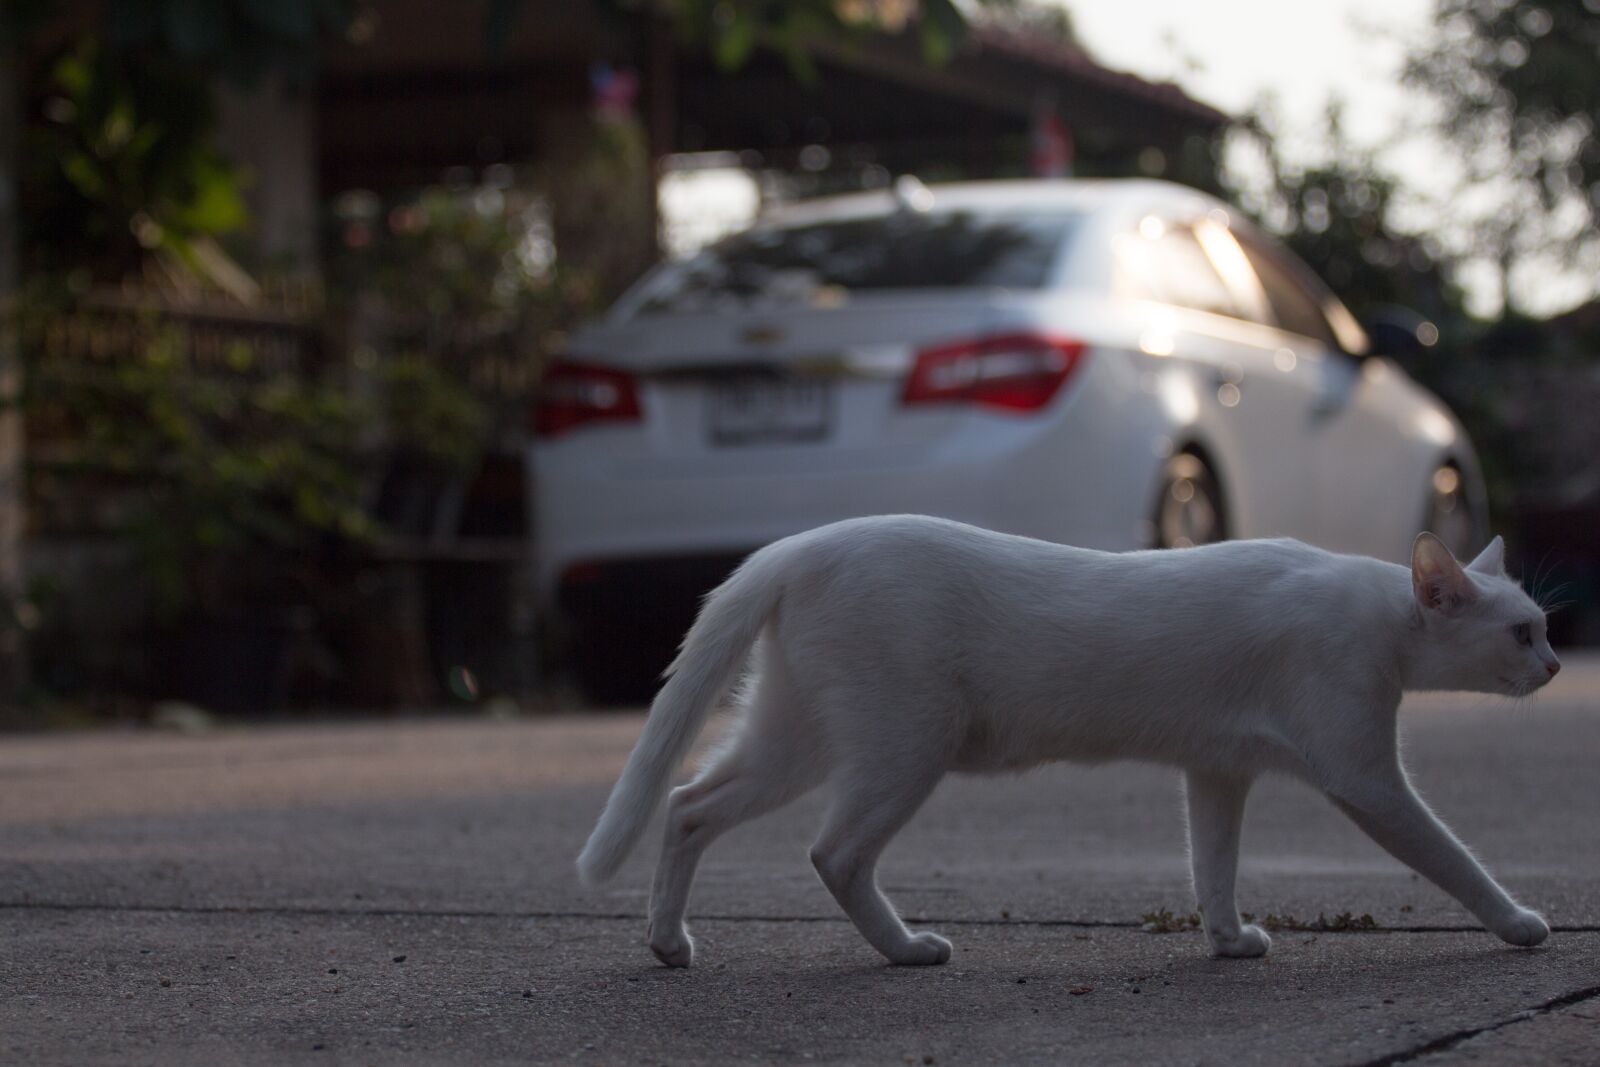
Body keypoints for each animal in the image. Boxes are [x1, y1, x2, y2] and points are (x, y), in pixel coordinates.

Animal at [579, 518, 1561, 966]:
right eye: (1523, 632)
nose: (1555, 664)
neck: (1378, 616)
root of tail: (797, 544)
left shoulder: (1217, 773)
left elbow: (1214, 867)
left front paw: (1228, 938)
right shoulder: (1366, 777)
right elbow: (1452, 857)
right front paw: (1518, 922)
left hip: (795, 737)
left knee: (686, 804)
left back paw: (668, 941)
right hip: (902, 747)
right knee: (832, 851)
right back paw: (906, 949)